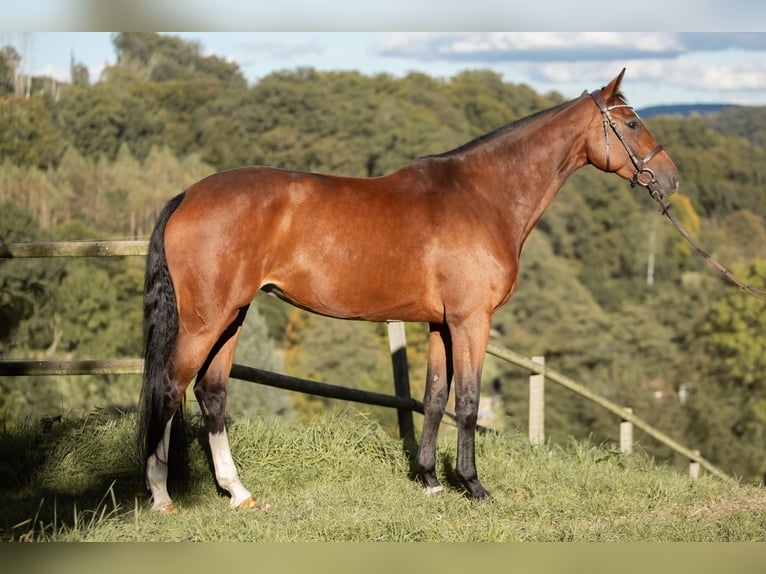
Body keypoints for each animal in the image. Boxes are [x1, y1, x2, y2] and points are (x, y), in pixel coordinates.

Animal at [138, 70, 680, 516]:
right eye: (631, 123)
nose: (670, 178)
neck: (483, 197)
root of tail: (187, 195)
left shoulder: (440, 323)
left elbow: (434, 397)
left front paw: (429, 480)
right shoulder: (470, 320)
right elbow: (468, 401)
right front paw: (473, 486)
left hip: (232, 317)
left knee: (211, 393)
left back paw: (238, 492)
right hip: (206, 321)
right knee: (168, 388)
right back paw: (161, 495)